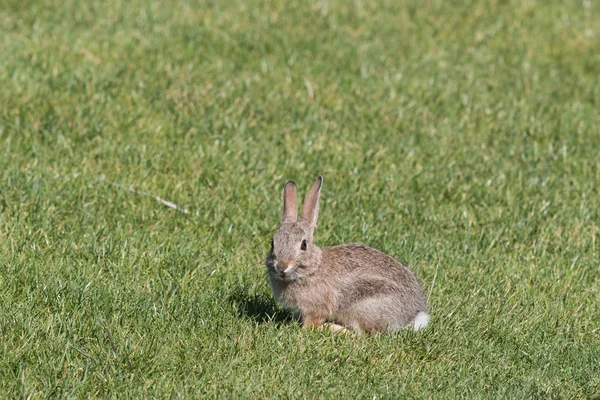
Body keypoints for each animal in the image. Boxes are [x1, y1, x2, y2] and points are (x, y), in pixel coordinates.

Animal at [264, 177, 428, 332]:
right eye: (273, 243)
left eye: (304, 244)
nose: (281, 266)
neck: (312, 269)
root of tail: (411, 316)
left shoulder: (317, 308)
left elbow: (312, 324)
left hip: (363, 305)